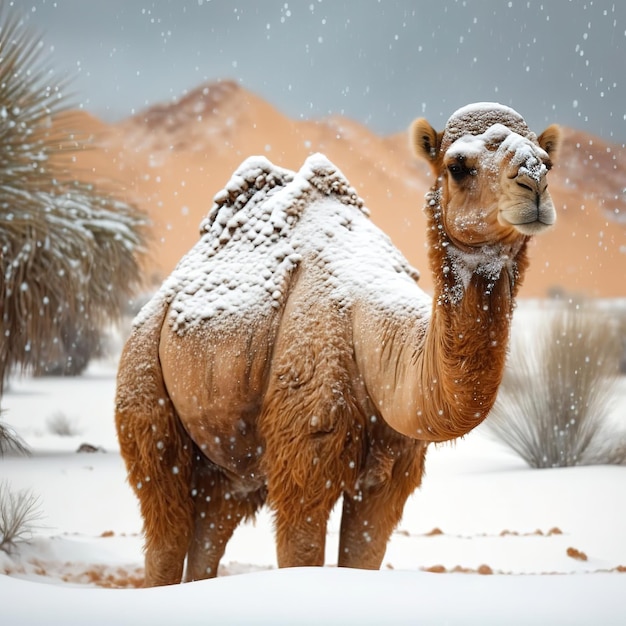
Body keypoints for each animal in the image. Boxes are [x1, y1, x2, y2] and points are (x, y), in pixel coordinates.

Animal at [114, 102, 560, 584]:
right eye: (458, 166)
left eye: (548, 161)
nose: (534, 182)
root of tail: (154, 306)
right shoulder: (304, 452)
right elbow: (302, 550)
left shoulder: (390, 477)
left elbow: (364, 555)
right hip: (145, 387)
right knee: (165, 528)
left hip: (228, 461)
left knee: (210, 531)